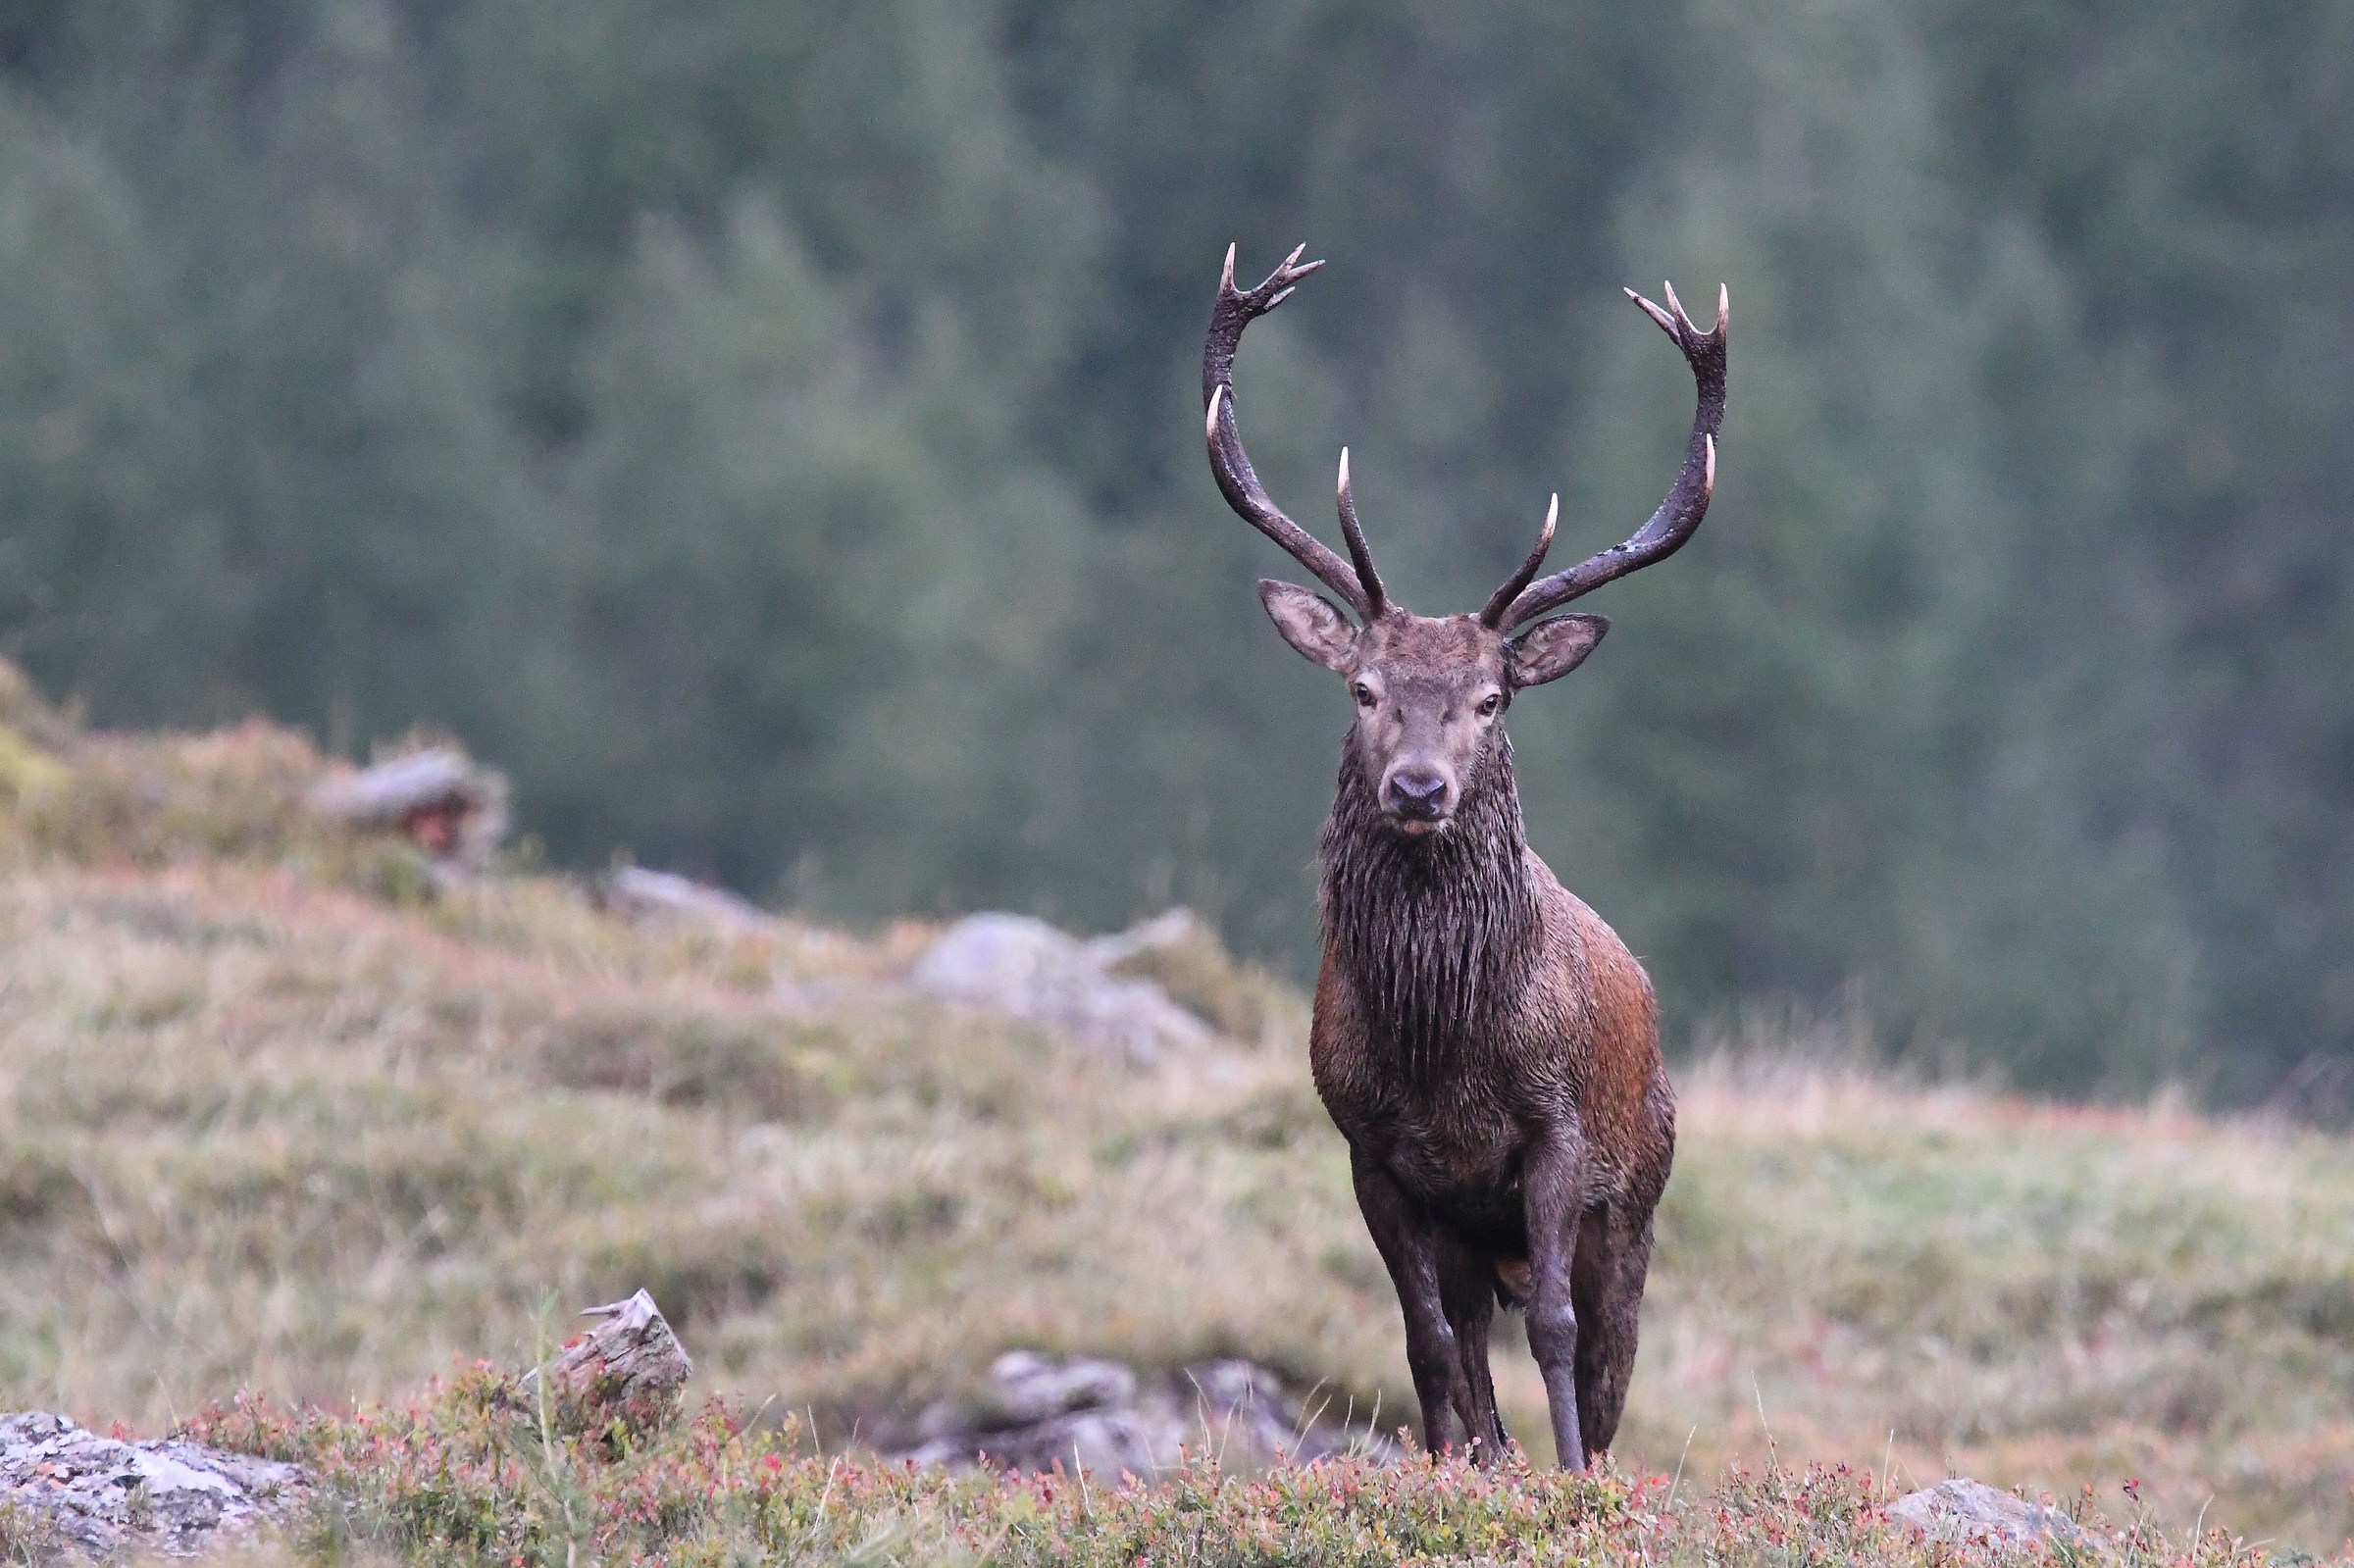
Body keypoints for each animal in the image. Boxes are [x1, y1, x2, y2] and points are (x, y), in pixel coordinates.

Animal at [1202, 243, 1726, 1470]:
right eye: (1364, 688)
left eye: (1491, 699)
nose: (1418, 789)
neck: (1446, 1051)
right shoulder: (1372, 1149)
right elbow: (1427, 1340)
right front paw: (1451, 1466)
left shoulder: (1560, 1133)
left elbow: (1558, 1331)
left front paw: (1571, 1477)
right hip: (1470, 1230)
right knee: (1470, 1340)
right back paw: (1483, 1452)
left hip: (1639, 1194)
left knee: (1609, 1349)